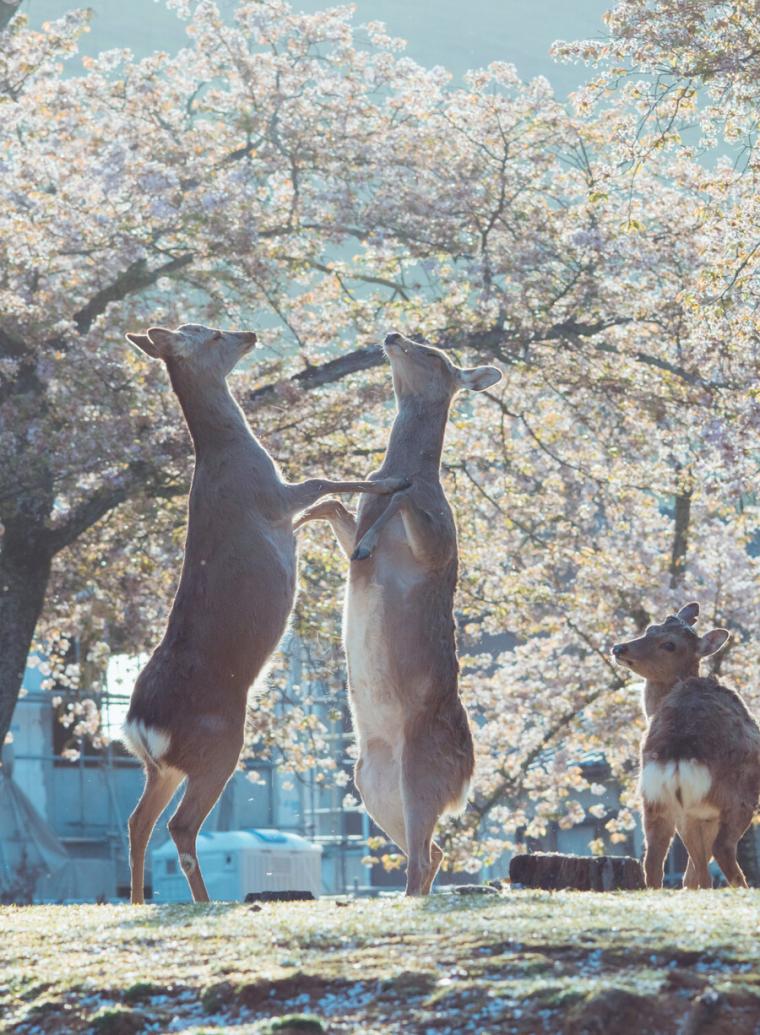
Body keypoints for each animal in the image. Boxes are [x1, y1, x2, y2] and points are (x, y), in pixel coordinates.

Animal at [122, 318, 410, 902]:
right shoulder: (275, 498)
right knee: (180, 826)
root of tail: (139, 726)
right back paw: (205, 903)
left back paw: (140, 899)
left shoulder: (284, 513)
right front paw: (391, 480)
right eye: (209, 336)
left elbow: (325, 500)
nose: (247, 334)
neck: (232, 454)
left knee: (139, 822)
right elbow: (324, 480)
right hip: (219, 745)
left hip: (161, 766)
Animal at [298, 329, 505, 890]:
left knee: (421, 855)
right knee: (432, 852)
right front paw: (304, 517)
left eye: (434, 354)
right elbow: (337, 507)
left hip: (421, 769)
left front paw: (372, 531)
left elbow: (405, 496)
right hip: (369, 782)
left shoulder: (442, 542)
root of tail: (468, 780)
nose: (393, 335)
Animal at [612, 604, 760, 894]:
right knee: (721, 849)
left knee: (654, 860)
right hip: (735, 798)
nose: (619, 648)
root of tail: (678, 753)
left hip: (655, 799)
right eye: (650, 629)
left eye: (669, 644)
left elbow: (692, 871)